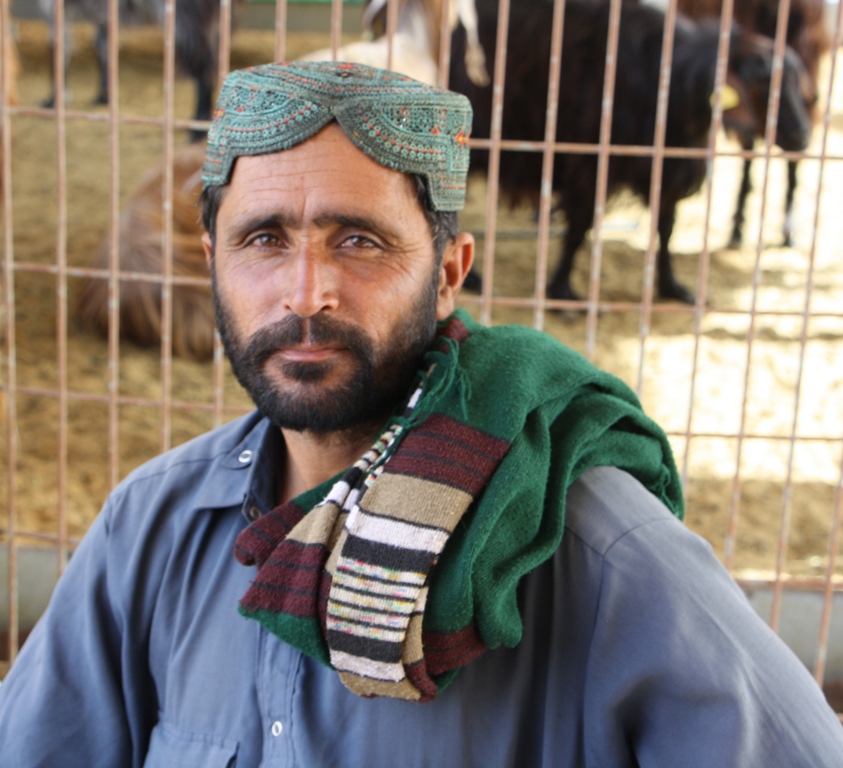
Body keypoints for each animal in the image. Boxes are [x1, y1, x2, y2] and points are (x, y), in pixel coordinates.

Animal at [452, 0, 816, 306]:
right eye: (760, 83)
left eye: (798, 82)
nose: (802, 135)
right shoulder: (590, 166)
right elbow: (580, 228)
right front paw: (562, 291)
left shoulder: (668, 169)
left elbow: (666, 228)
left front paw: (672, 287)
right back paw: (474, 279)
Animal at [672, 0, 832, 246]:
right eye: (757, 86)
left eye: (797, 79)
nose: (800, 134)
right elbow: (747, 163)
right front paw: (737, 226)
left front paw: (788, 227)